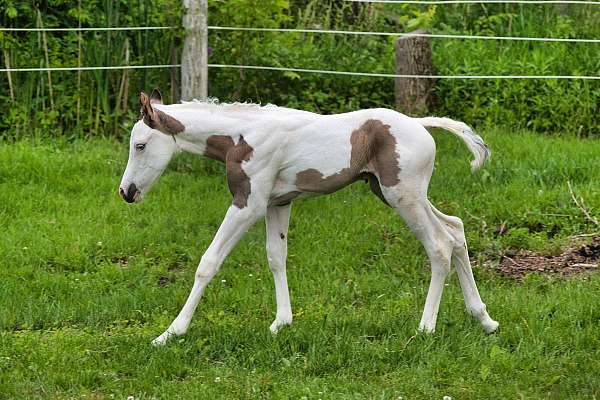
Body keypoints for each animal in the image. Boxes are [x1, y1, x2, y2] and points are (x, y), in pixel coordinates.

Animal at [119, 89, 500, 346]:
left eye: (140, 145)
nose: (126, 192)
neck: (242, 135)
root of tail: (421, 124)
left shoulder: (248, 204)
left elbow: (209, 262)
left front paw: (170, 332)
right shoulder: (277, 204)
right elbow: (276, 257)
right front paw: (281, 323)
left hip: (402, 196)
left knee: (439, 245)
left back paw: (426, 327)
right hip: (396, 193)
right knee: (456, 229)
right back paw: (484, 318)